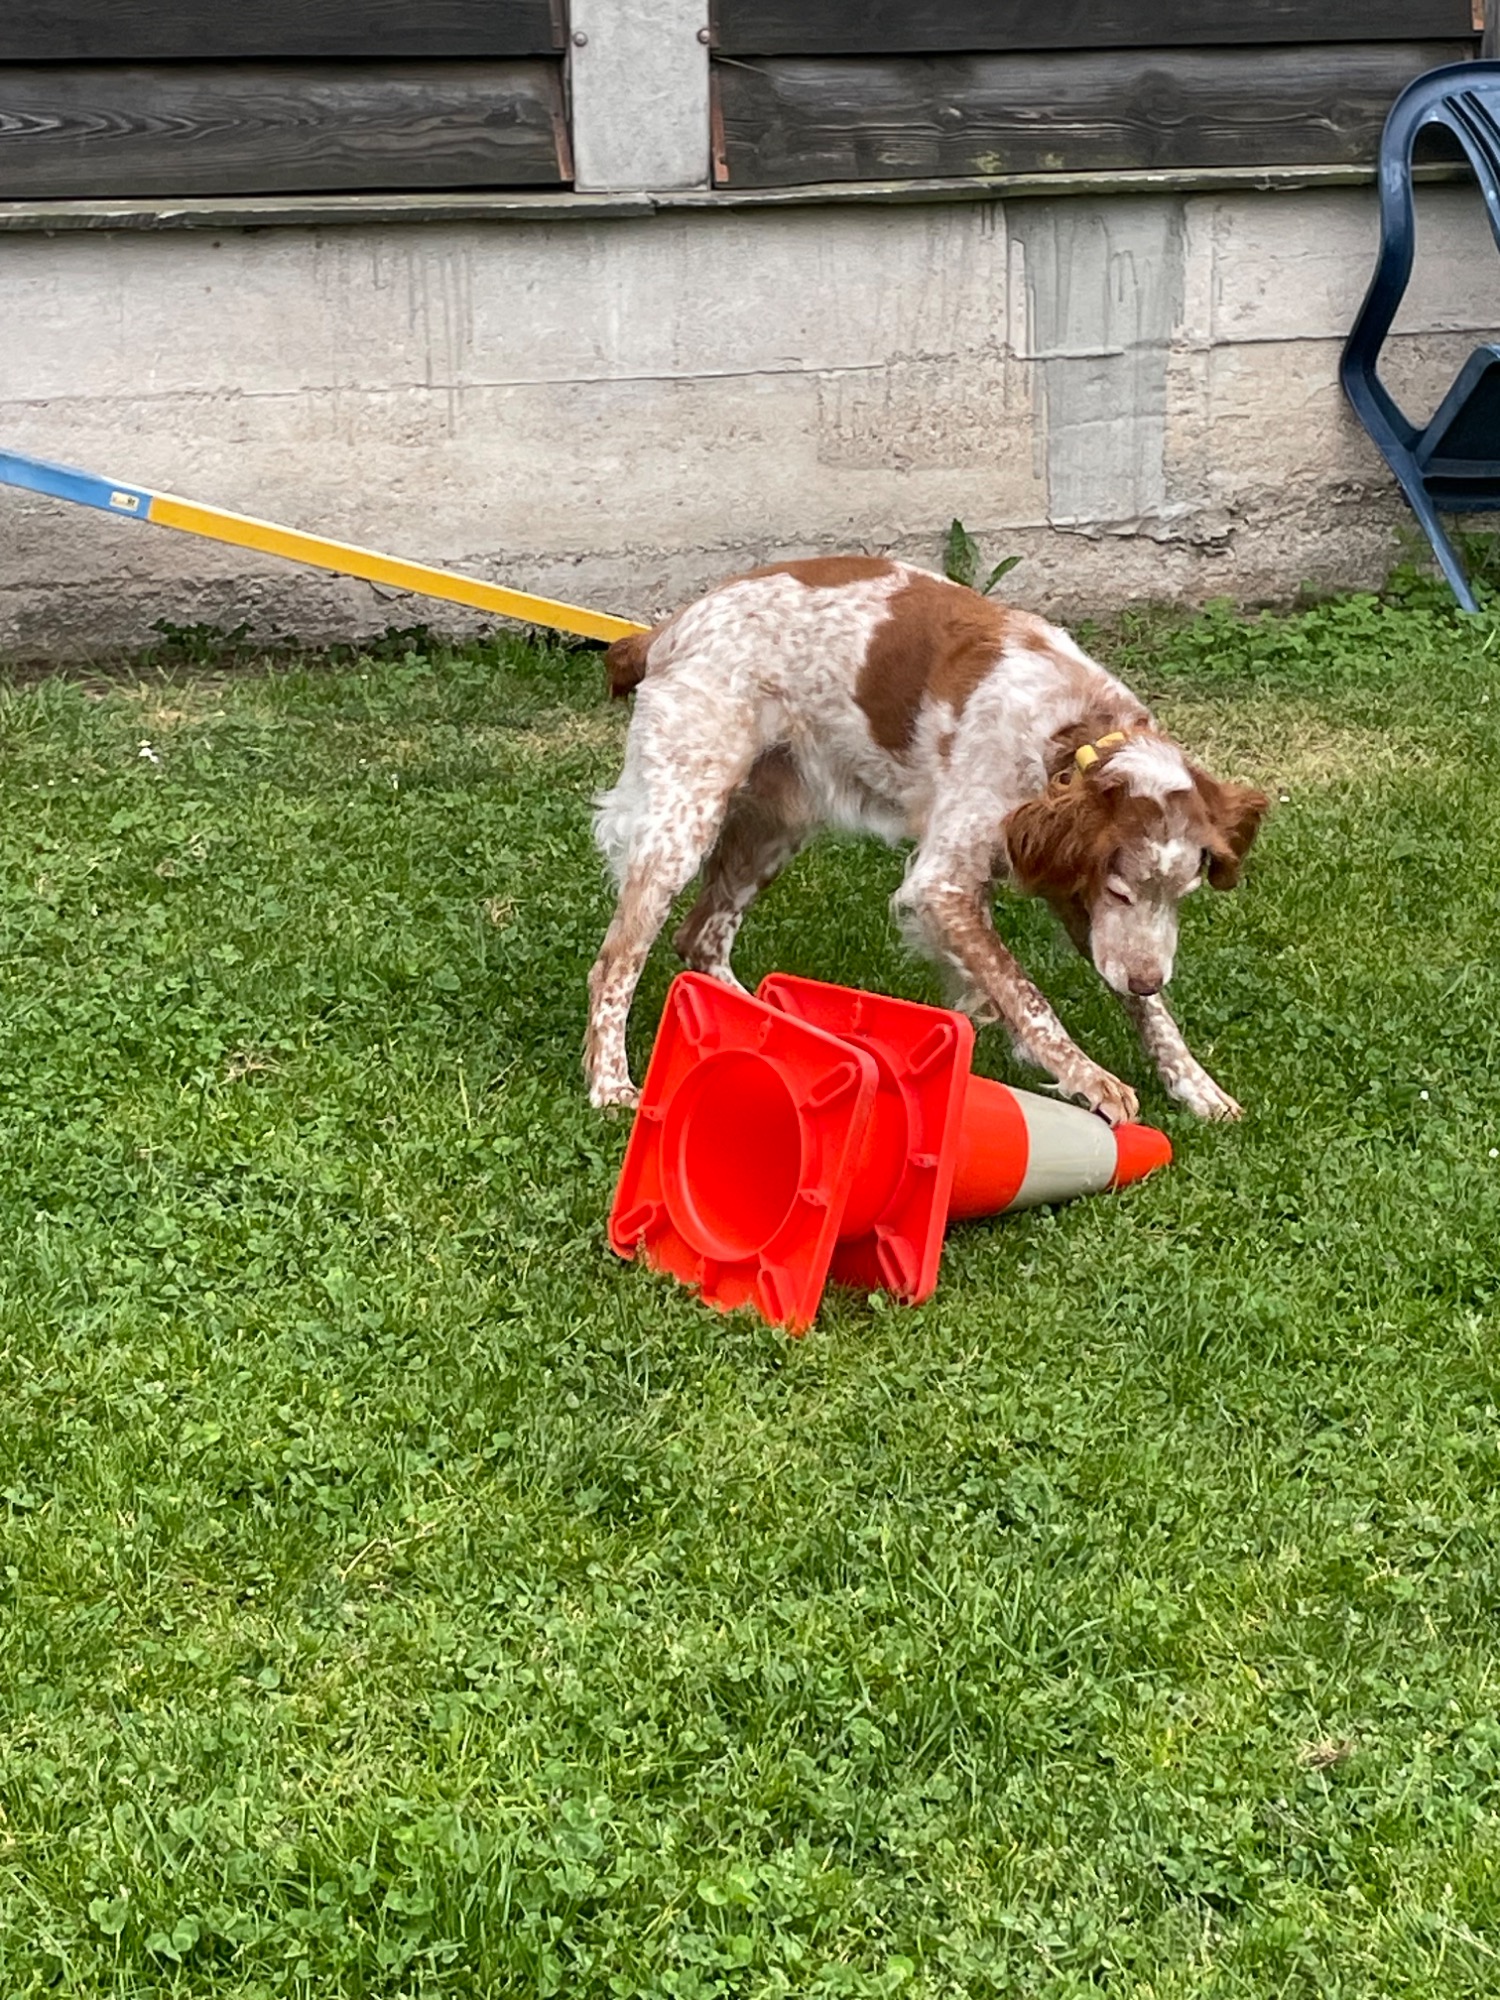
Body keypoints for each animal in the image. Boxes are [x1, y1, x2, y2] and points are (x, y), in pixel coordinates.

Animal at [585, 557, 1267, 1125]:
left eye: (1182, 895)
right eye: (1123, 892)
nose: (1149, 979)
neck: (1070, 733)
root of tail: (669, 628)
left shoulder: (1075, 892)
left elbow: (1148, 1014)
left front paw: (1196, 1086)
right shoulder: (945, 885)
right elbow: (1028, 996)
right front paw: (1092, 1079)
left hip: (776, 826)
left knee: (700, 938)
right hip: (685, 817)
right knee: (616, 962)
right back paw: (611, 1084)